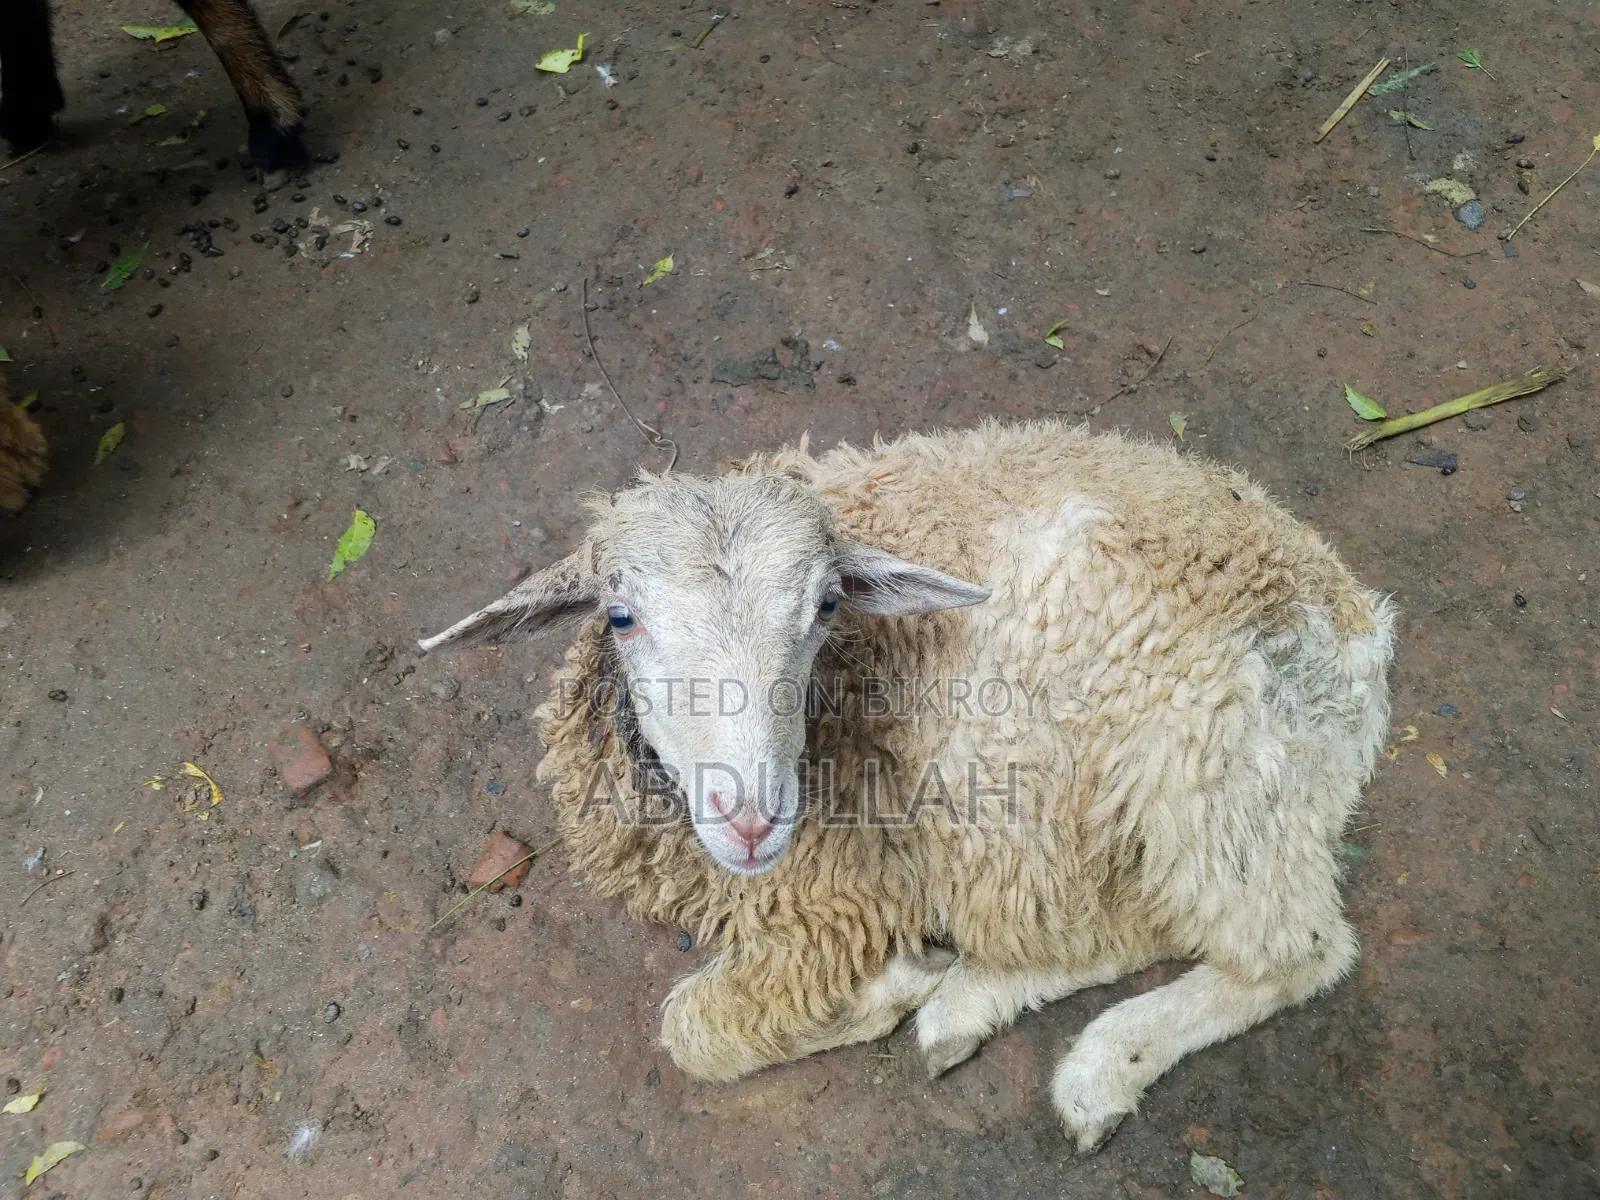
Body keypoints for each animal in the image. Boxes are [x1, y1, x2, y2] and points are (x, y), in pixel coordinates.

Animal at [420, 419, 1396, 1151]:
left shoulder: (851, 882)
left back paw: (1090, 1062)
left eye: (826, 606)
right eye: (620, 617)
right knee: (1126, 917)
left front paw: (886, 986)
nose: (752, 819)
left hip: (1183, 771)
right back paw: (974, 1004)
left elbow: (694, 1031)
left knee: (1295, 946)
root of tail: (1359, 630)